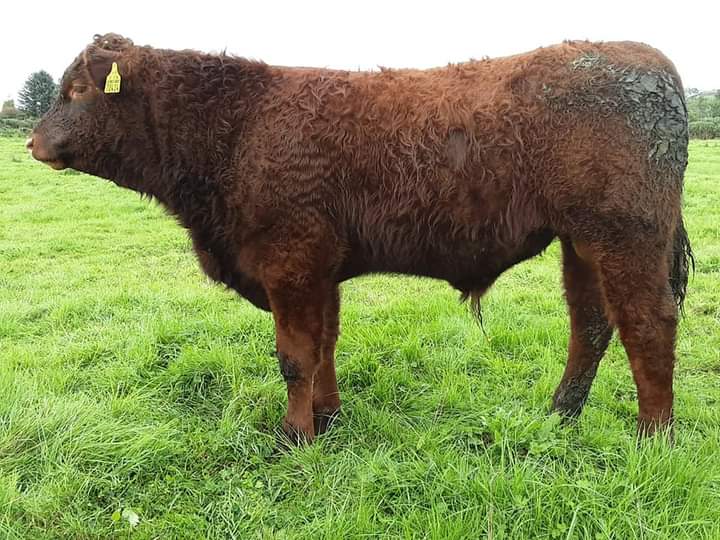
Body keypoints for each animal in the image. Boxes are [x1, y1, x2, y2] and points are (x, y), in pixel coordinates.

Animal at [28, 33, 692, 443]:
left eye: (79, 90)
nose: (33, 143)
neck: (236, 126)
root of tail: (649, 60)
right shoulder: (321, 269)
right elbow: (324, 346)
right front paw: (328, 418)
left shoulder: (291, 261)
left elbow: (294, 355)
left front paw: (294, 437)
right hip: (580, 243)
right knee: (592, 324)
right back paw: (560, 415)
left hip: (625, 236)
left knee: (648, 325)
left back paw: (652, 438)